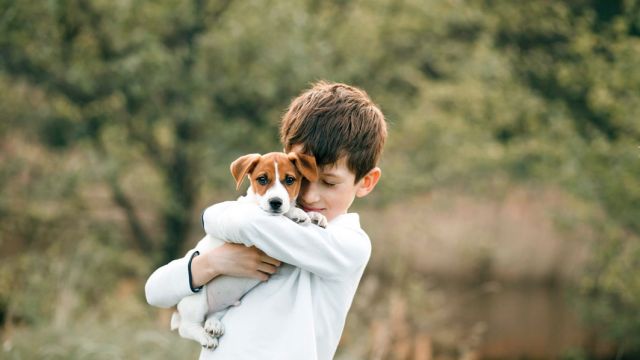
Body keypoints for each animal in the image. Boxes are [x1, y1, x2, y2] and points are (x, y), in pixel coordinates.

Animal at [170, 151, 328, 348]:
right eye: (262, 179)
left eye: (290, 180)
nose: (275, 202)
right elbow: (279, 211)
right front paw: (297, 213)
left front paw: (315, 215)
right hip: (195, 300)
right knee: (186, 327)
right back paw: (205, 337)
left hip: (222, 303)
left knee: (212, 314)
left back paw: (213, 325)